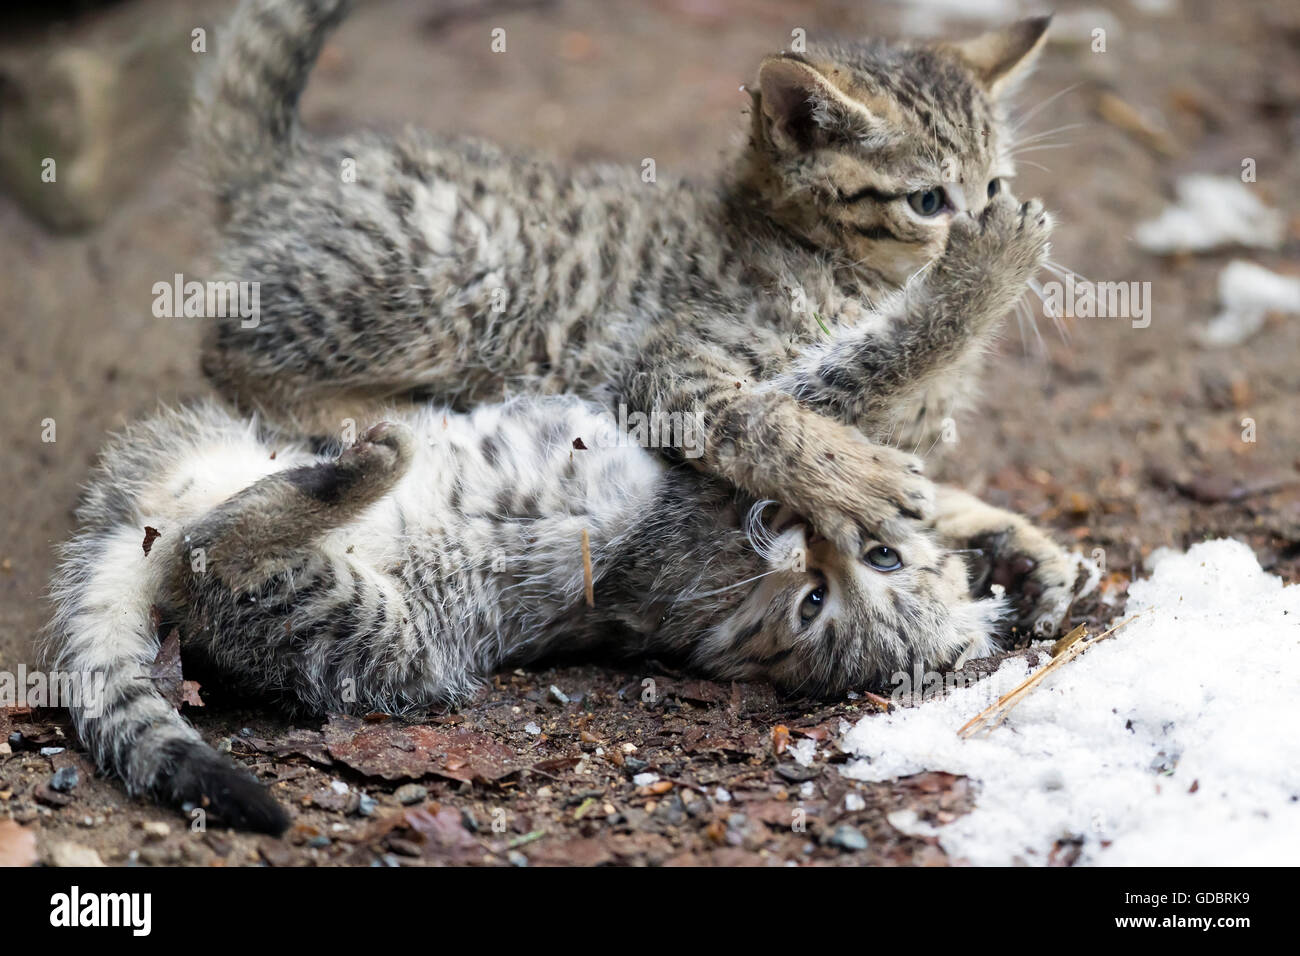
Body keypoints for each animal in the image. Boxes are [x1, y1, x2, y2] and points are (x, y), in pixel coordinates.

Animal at [45, 395, 1066, 832]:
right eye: (871, 564)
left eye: (816, 605)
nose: (817, 558)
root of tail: (135, 524)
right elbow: (931, 493)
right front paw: (1033, 558)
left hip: (357, 624)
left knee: (209, 550)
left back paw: (356, 472)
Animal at [195, 1, 1066, 582]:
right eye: (929, 200)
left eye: (994, 183)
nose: (987, 216)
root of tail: (289, 171)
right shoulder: (668, 368)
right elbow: (780, 410)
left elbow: (927, 484)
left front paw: (1019, 545)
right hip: (445, 282)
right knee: (227, 351)